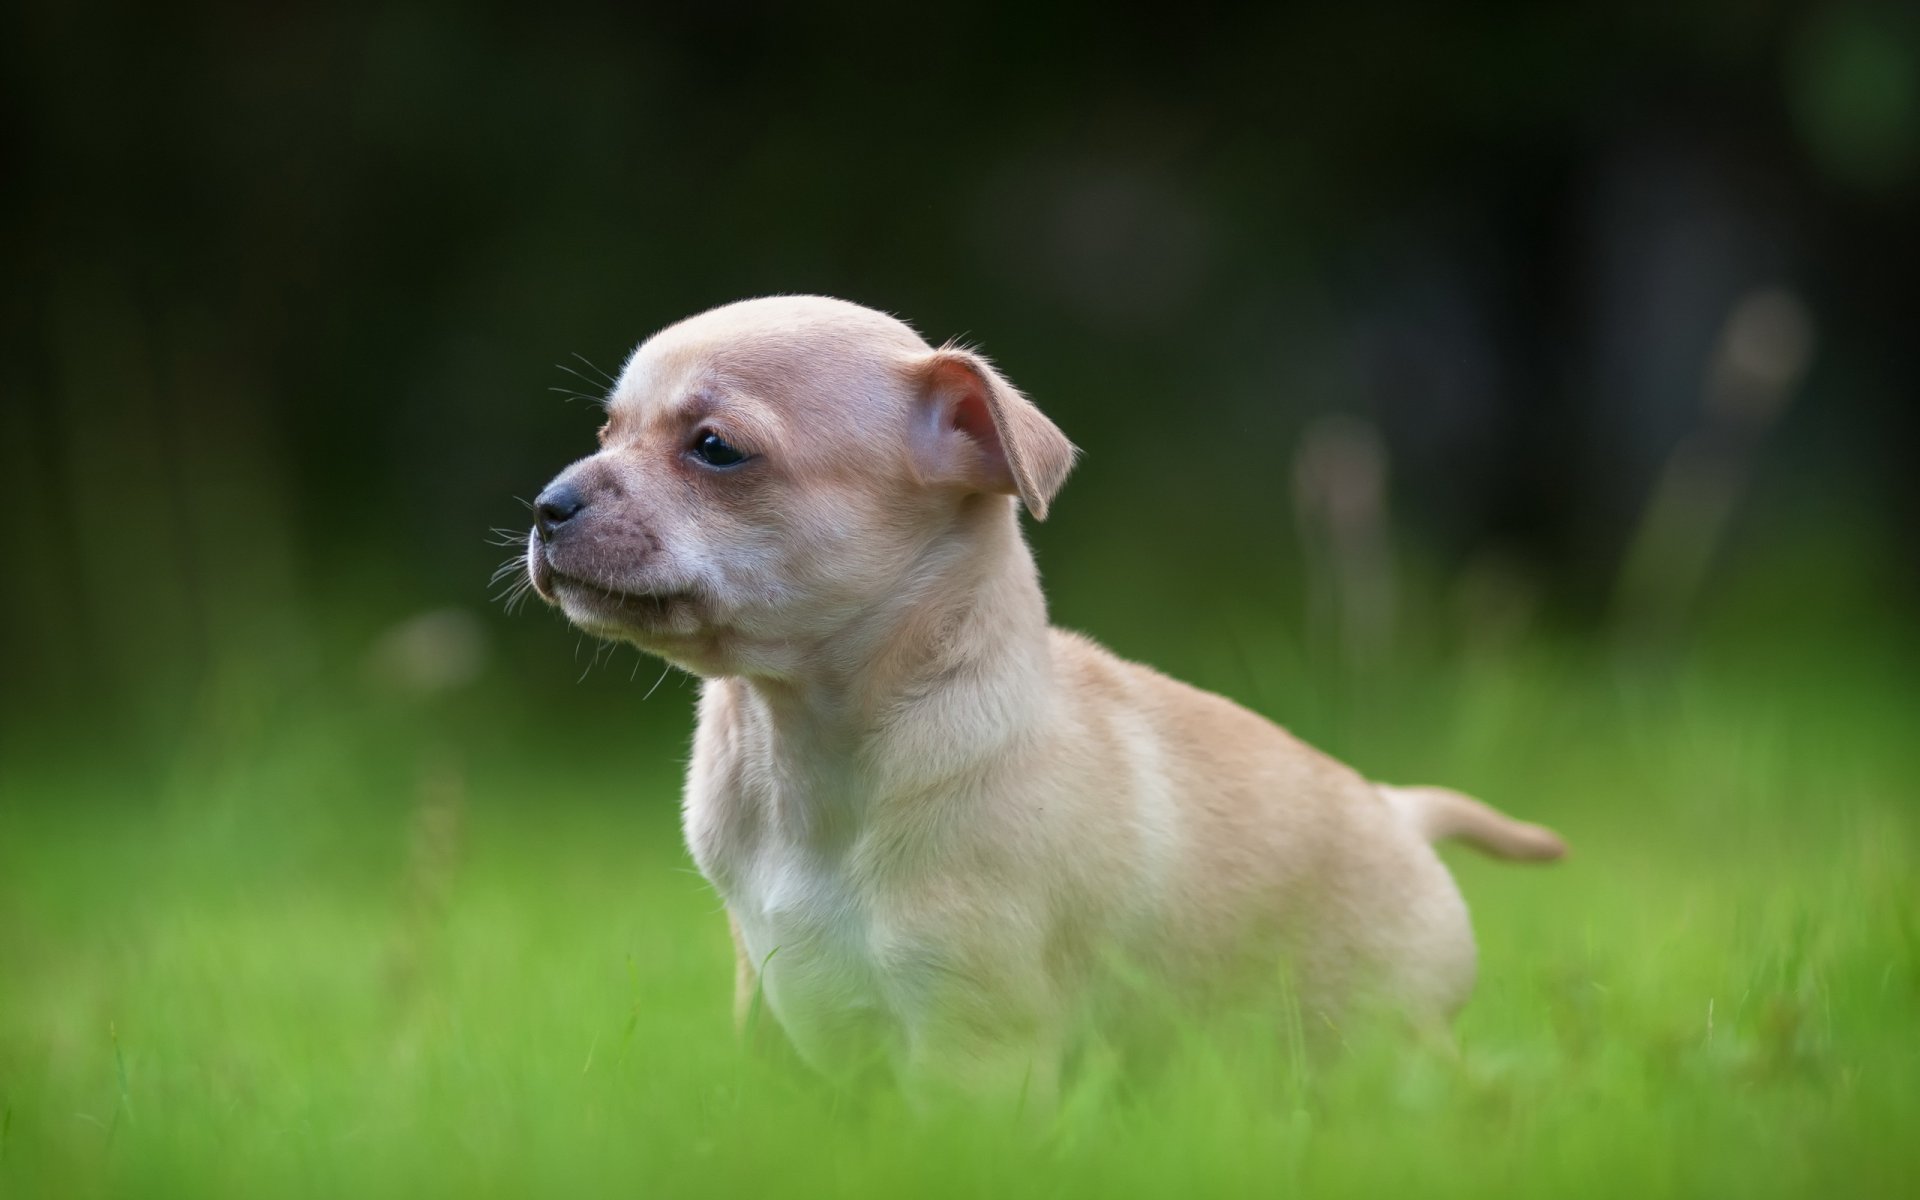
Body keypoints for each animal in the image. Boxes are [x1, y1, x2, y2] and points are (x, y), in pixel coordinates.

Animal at [526, 291, 1559, 1105]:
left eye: (715, 450)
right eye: (605, 436)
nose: (547, 505)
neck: (804, 743)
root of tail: (1400, 811)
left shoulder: (970, 1043)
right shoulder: (773, 1006)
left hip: (1381, 1041)